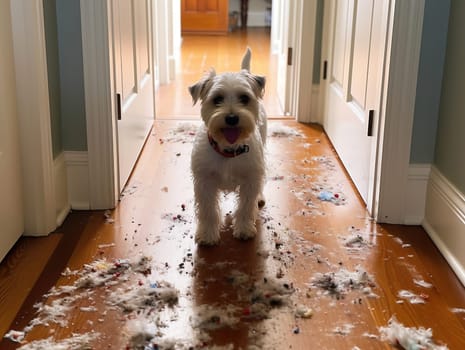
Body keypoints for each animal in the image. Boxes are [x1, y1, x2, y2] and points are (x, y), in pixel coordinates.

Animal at [188, 47, 266, 246]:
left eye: (244, 98)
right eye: (217, 99)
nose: (231, 118)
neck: (228, 150)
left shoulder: (250, 180)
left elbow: (246, 207)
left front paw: (244, 229)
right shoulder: (205, 183)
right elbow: (208, 210)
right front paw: (207, 234)